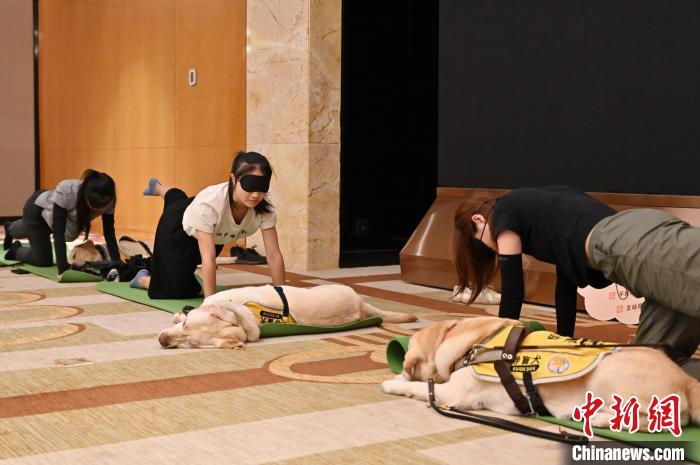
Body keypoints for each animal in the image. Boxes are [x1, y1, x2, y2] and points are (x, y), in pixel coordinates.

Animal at [382, 316, 700, 428]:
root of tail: (688, 381)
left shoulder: (453, 393)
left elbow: (420, 387)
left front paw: (393, 383)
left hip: (610, 377)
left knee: (653, 419)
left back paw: (597, 418)